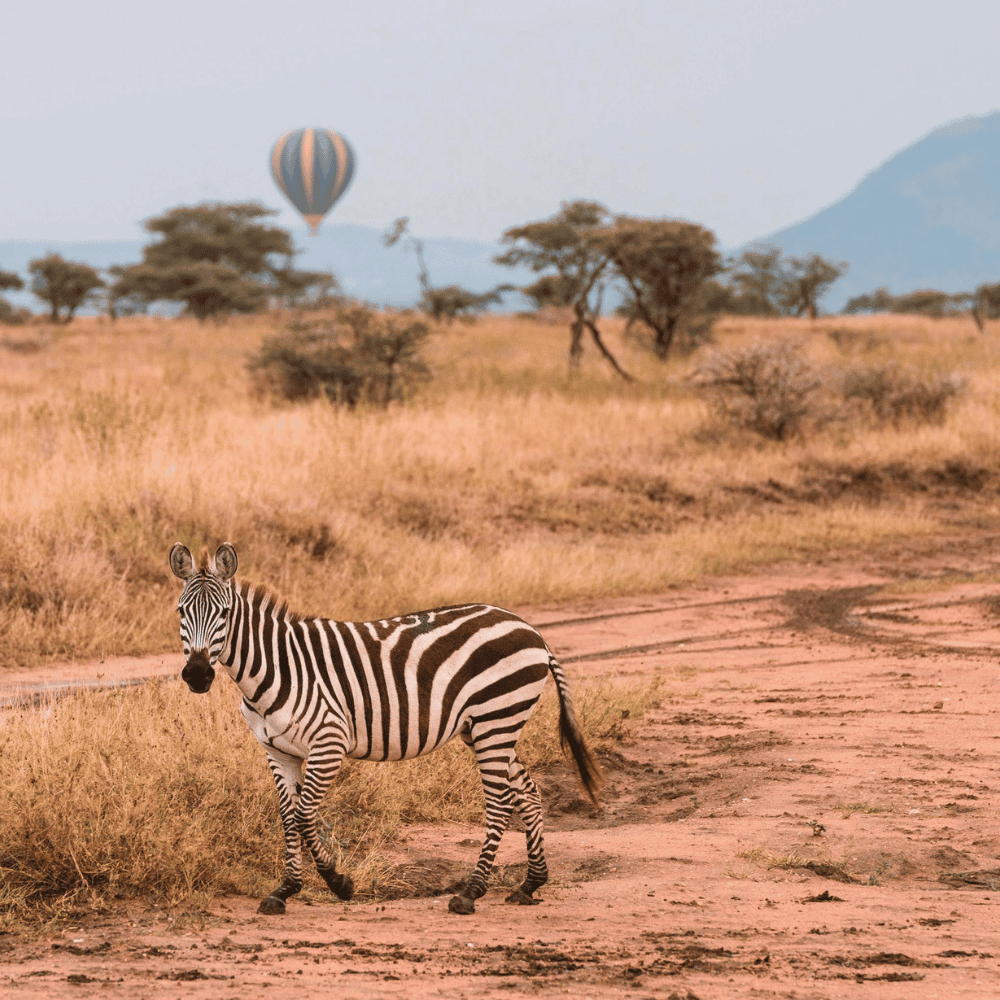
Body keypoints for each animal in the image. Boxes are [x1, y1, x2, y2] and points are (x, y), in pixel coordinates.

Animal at [169, 542, 603, 916]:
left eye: (224, 613)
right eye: (180, 612)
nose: (197, 674)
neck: (276, 667)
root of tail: (531, 630)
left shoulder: (329, 742)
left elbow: (305, 814)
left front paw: (338, 882)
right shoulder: (278, 750)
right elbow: (288, 816)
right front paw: (285, 890)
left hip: (496, 720)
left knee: (499, 802)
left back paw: (470, 892)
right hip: (487, 727)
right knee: (527, 791)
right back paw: (530, 884)